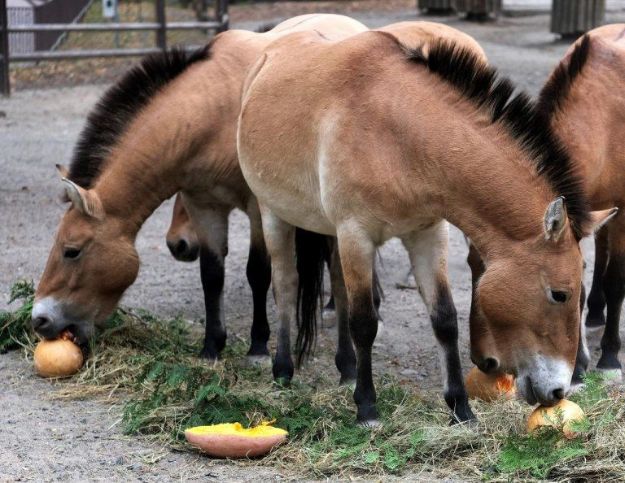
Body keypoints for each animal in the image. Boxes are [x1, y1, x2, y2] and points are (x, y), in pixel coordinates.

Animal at [31, 13, 368, 366]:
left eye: (71, 251)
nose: (38, 319)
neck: (215, 116)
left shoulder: (257, 208)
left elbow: (257, 272)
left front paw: (258, 344)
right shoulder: (203, 205)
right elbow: (211, 275)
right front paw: (211, 346)